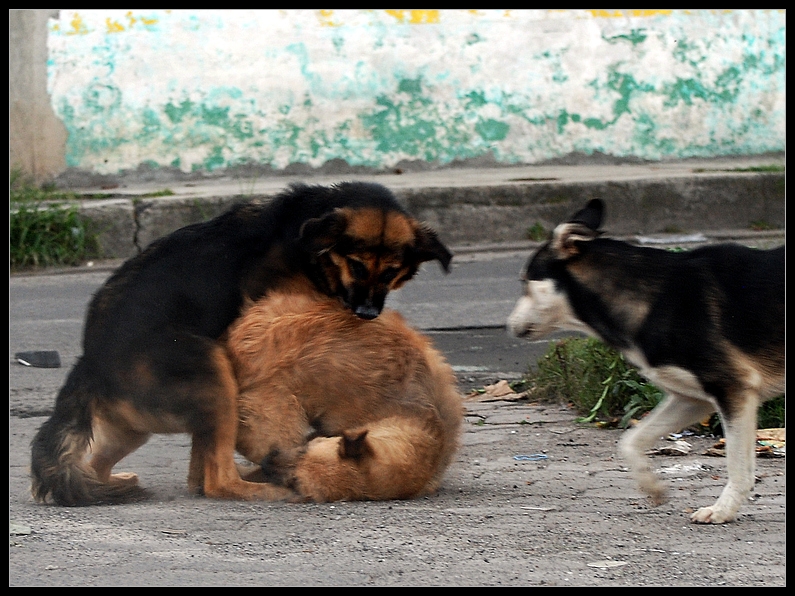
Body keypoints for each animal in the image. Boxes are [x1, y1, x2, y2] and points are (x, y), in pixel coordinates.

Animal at [506, 199, 788, 520]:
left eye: (525, 282)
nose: (508, 325)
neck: (650, 298)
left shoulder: (734, 390)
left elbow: (739, 468)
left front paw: (722, 510)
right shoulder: (692, 400)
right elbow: (630, 441)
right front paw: (651, 485)